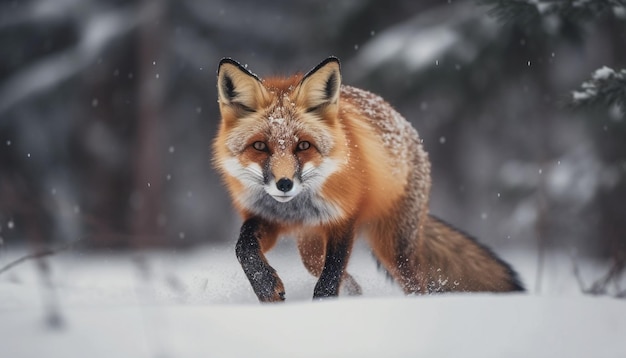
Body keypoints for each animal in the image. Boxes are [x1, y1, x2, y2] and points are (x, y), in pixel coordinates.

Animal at [213, 56, 520, 302]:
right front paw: (265, 286)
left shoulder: (344, 220)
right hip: (311, 250)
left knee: (416, 284)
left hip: (396, 250)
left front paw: (323, 307)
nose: (284, 184)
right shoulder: (266, 217)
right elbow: (244, 248)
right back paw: (355, 295)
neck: (296, 209)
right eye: (260, 146)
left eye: (303, 146)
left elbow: (331, 275)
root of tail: (406, 126)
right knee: (341, 276)